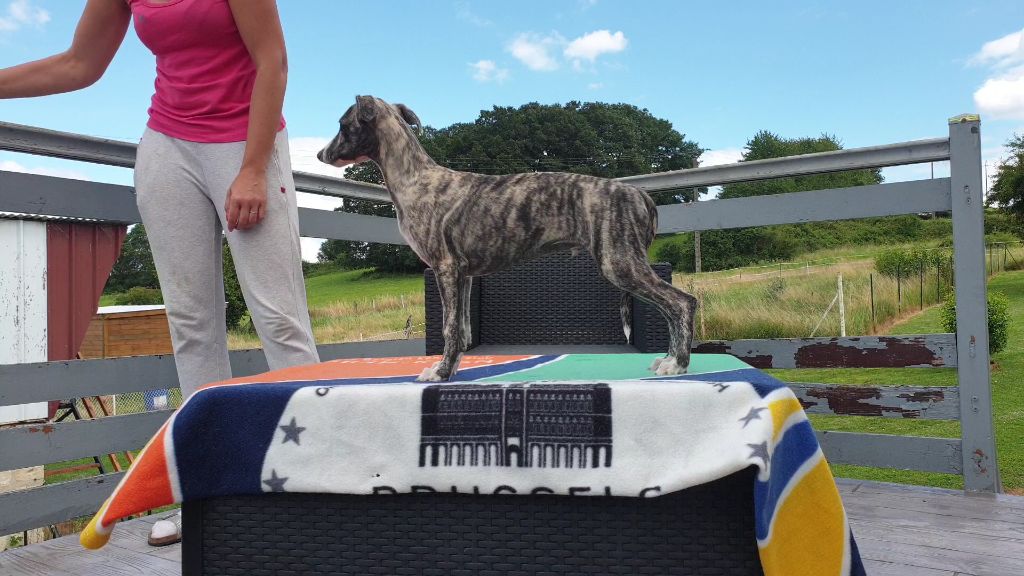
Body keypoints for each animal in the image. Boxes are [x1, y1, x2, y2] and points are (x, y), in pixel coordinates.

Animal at [318, 95, 697, 382]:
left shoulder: (445, 268)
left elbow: (449, 328)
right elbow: (463, 330)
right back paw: (668, 360)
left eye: (342, 124)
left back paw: (677, 363)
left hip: (620, 262)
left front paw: (439, 373)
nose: (321, 154)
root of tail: (639, 194)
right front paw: (452, 369)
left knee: (681, 302)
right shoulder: (464, 275)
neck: (416, 179)